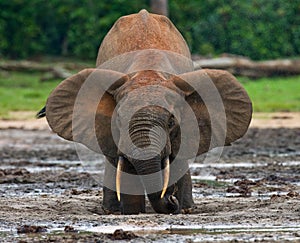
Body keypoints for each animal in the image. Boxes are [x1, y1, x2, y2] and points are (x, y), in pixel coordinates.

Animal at [38, 9, 253, 215]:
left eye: (171, 122)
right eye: (118, 120)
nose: (171, 198)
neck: (148, 74)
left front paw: (181, 208)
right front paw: (133, 212)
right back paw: (111, 211)